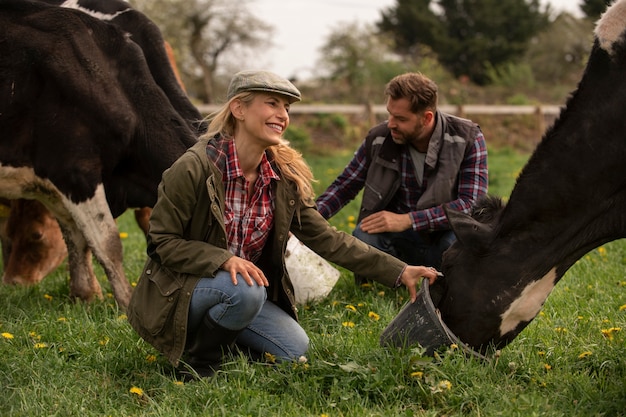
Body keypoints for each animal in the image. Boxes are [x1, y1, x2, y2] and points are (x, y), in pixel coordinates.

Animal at [0, 0, 199, 306]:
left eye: (36, 235)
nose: (14, 282)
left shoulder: (56, 180)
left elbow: (77, 234)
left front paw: (85, 294)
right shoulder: (74, 170)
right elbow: (108, 243)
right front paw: (126, 305)